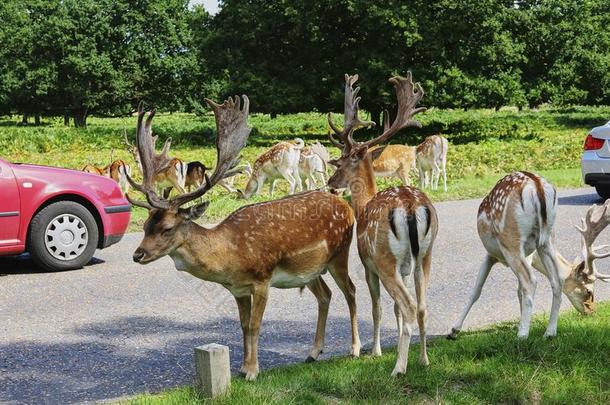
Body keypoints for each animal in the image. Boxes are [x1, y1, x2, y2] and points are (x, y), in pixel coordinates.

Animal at [125, 97, 358, 378]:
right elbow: (243, 326)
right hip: (310, 270)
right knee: (325, 295)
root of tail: (345, 205)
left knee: (351, 291)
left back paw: (356, 349)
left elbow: (256, 325)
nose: (138, 254)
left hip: (340, 253)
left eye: (167, 228)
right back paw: (313, 353)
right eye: (146, 225)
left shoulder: (262, 279)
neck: (231, 255)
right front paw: (242, 367)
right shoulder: (237, 289)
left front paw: (253, 371)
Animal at [326, 72, 434, 376]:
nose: (330, 183)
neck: (363, 206)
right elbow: (395, 310)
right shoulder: (405, 267)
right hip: (425, 255)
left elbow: (378, 308)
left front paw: (375, 352)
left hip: (384, 258)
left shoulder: (367, 264)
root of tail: (409, 205)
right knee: (421, 306)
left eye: (341, 163)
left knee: (408, 306)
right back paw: (424, 360)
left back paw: (399, 368)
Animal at [444, 172, 608, 340]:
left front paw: (453, 330)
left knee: (530, 281)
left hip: (511, 242)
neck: (534, 260)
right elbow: (515, 290)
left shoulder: (492, 254)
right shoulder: (527, 255)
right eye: (589, 291)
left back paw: (522, 335)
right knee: (557, 280)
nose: (592, 311)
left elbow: (476, 290)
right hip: (546, 240)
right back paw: (549, 332)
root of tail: (537, 185)